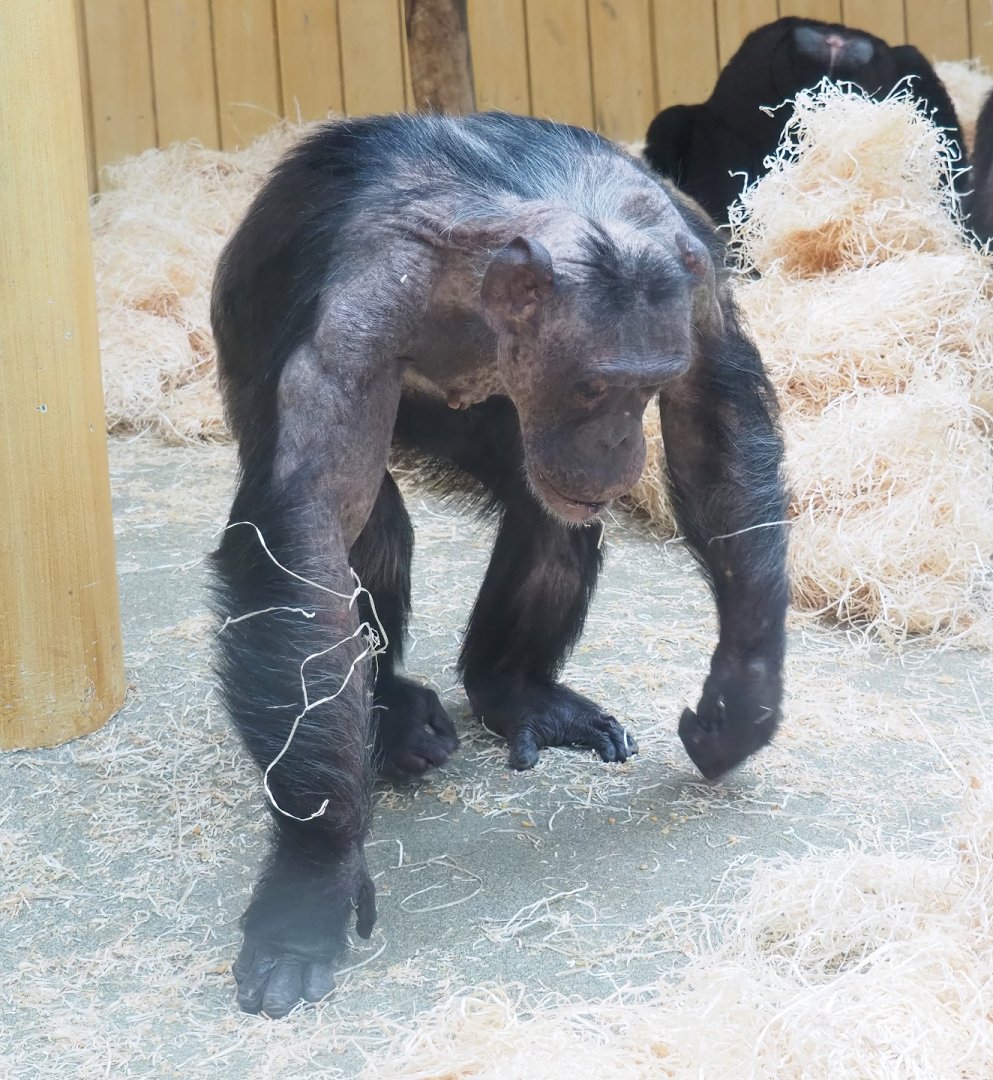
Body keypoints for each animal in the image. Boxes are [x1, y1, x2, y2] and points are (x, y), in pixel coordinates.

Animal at [209, 111, 789, 1017]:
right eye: (594, 387)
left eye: (644, 387)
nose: (619, 445)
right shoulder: (353, 325)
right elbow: (305, 537)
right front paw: (311, 884)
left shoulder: (691, 278)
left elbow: (715, 422)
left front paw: (741, 694)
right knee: (371, 533)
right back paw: (392, 720)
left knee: (547, 513)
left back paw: (517, 693)